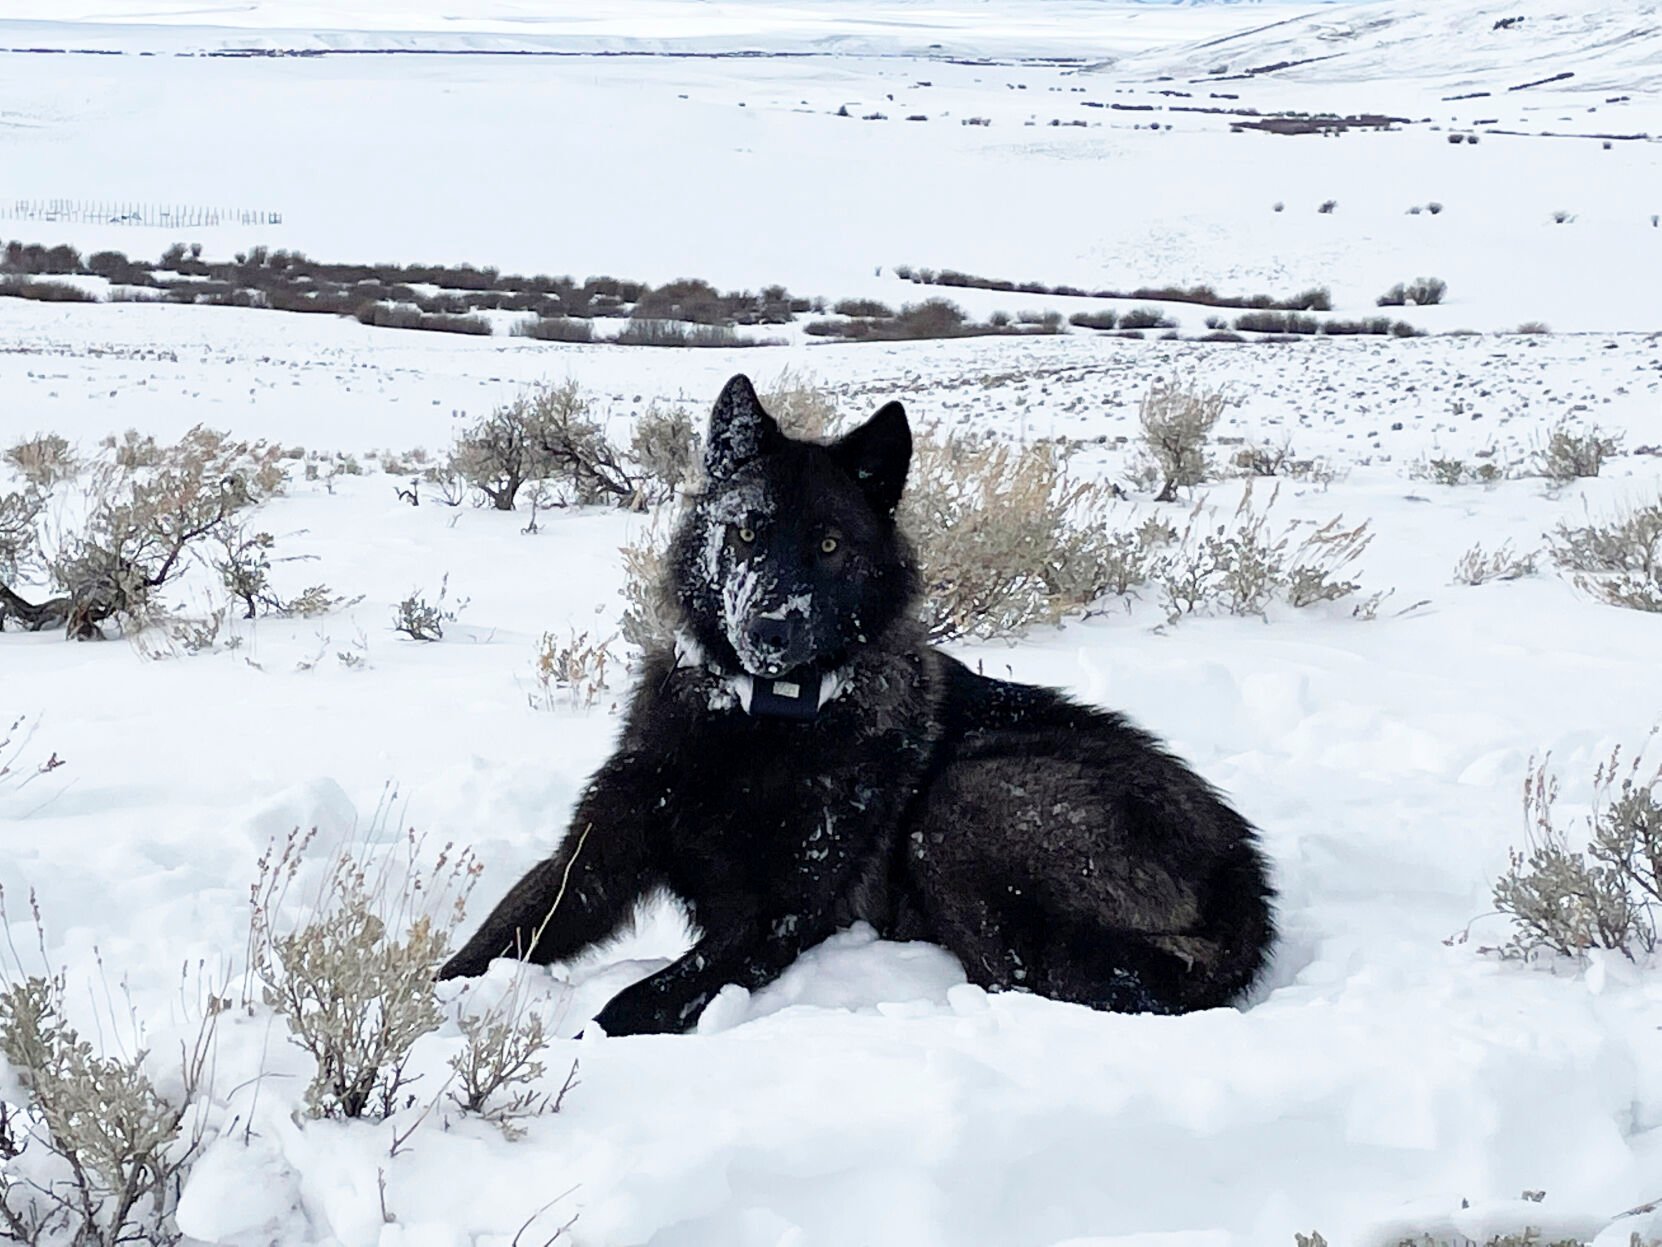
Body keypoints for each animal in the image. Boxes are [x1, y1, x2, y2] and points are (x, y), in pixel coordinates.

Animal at [442, 374, 1269, 1037]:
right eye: (747, 530)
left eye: (832, 545)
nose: (770, 627)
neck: (758, 726)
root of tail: (1246, 879)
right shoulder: (593, 860)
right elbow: (490, 941)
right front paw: (432, 1013)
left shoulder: (773, 918)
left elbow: (632, 1004)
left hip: (966, 801)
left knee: (1037, 975)